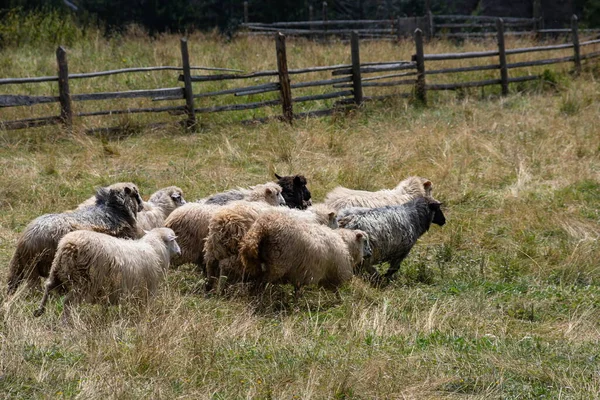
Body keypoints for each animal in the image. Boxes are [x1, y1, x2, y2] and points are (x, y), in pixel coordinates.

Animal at [5, 184, 143, 294]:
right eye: (136, 194)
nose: (142, 205)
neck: (114, 209)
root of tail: (25, 241)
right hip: (36, 267)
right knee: (34, 289)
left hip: (18, 265)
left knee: (12, 284)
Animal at [33, 228, 180, 318]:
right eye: (173, 240)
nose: (180, 251)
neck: (154, 249)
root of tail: (69, 245)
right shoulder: (148, 290)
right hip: (84, 283)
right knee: (67, 302)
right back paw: (67, 322)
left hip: (58, 271)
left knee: (48, 287)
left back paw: (39, 310)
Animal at [238, 211, 370, 292]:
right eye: (365, 241)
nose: (369, 254)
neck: (345, 243)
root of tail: (263, 227)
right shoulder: (335, 271)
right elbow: (336, 291)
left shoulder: (301, 273)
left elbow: (297, 289)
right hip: (277, 265)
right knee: (262, 282)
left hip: (257, 263)